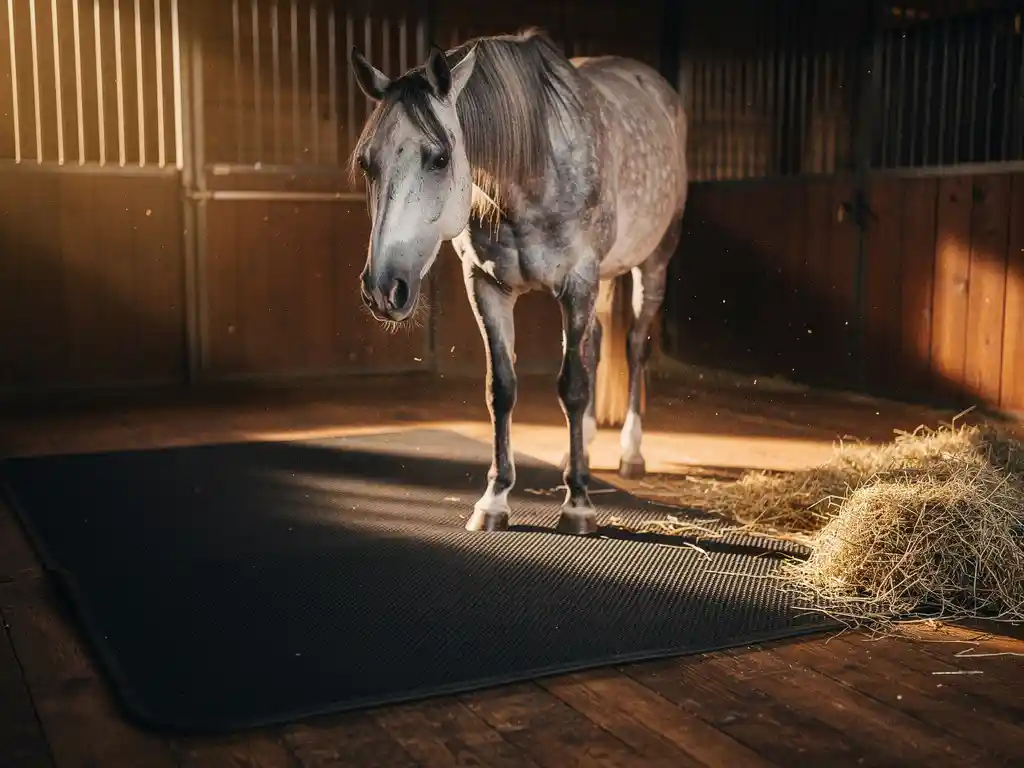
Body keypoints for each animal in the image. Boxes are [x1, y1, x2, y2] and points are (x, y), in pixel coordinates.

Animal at [348, 28, 688, 535]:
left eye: (440, 158)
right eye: (368, 163)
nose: (384, 289)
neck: (534, 167)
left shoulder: (578, 282)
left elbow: (572, 386)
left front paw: (578, 503)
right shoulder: (487, 286)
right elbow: (502, 388)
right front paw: (494, 499)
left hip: (653, 265)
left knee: (634, 347)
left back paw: (631, 452)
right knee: (593, 344)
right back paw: (584, 445)